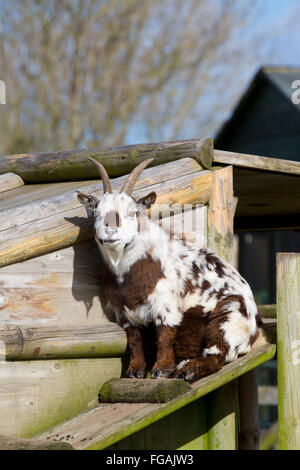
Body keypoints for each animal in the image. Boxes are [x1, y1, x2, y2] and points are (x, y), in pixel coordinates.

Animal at [77, 160, 264, 380]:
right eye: (96, 213)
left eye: (133, 212)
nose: (110, 231)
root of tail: (255, 328)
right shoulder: (124, 311)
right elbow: (134, 338)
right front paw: (135, 370)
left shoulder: (166, 302)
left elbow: (164, 333)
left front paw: (162, 368)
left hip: (229, 316)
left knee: (217, 355)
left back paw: (188, 370)